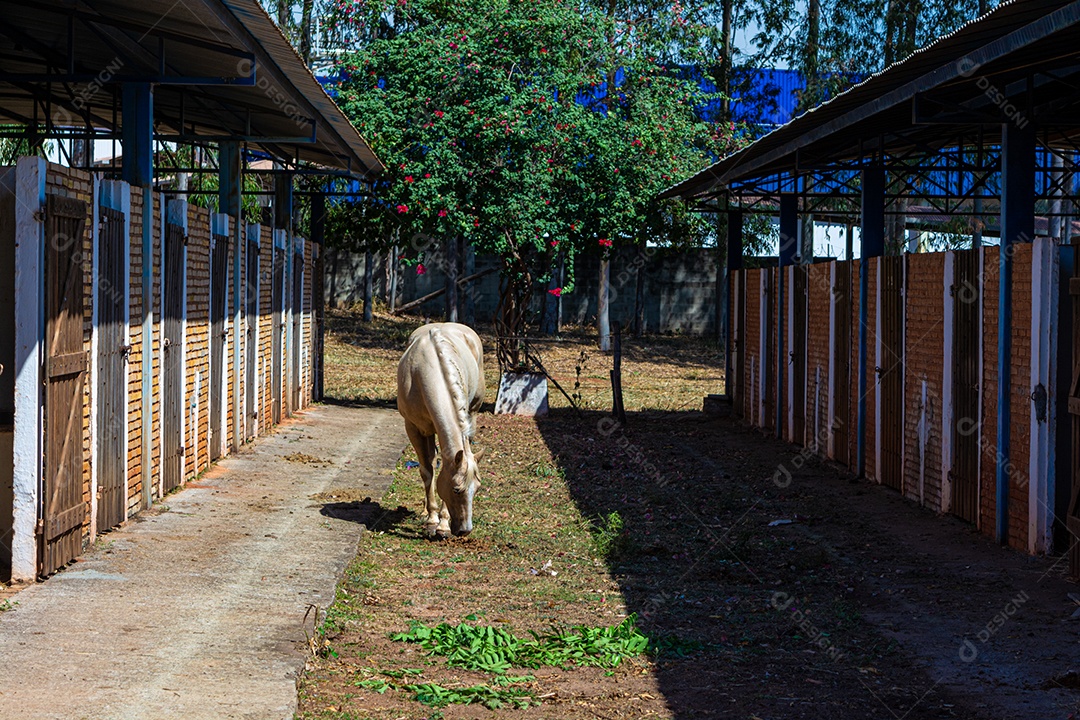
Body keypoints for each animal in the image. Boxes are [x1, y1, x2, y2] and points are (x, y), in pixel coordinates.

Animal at [397, 323, 486, 537]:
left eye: (477, 488)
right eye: (456, 489)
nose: (465, 530)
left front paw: (443, 524)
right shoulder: (413, 428)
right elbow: (427, 470)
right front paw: (431, 520)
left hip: (472, 414)